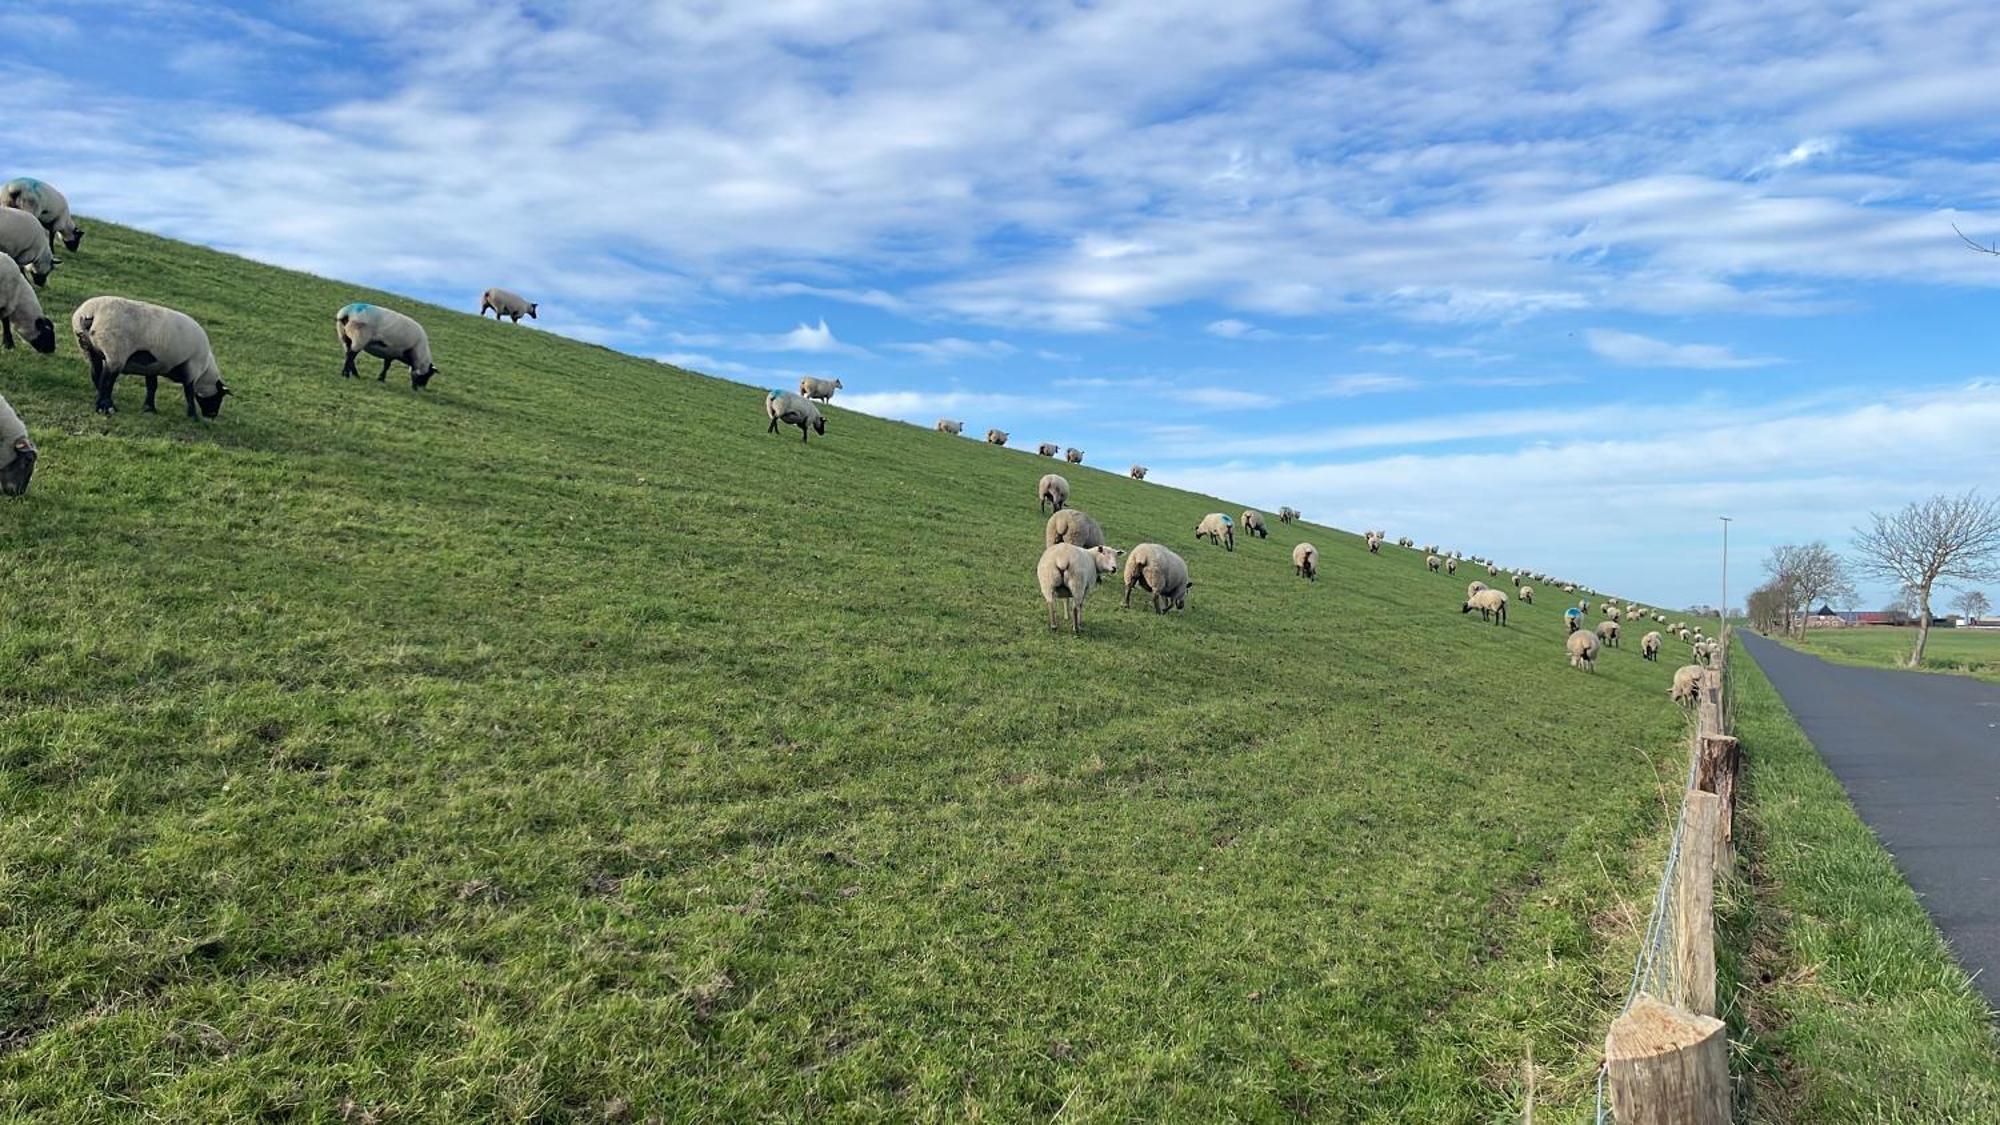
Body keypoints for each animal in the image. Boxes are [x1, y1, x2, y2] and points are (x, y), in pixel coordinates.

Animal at [72, 296, 230, 418]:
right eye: (219, 397)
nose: (212, 415)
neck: (205, 370)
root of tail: (89, 313)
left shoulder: (152, 367)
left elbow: (152, 387)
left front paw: (149, 409)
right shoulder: (192, 368)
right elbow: (189, 393)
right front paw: (193, 416)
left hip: (89, 349)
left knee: (96, 375)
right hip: (115, 352)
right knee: (106, 381)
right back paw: (107, 408)